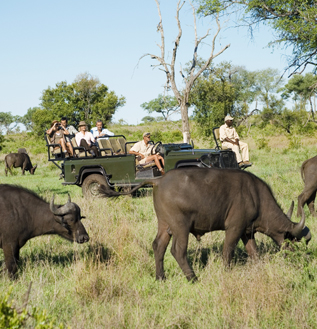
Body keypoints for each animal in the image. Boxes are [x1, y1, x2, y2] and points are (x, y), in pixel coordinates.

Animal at [99, 168, 312, 280]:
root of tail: (158, 180)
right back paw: (192, 277)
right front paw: (227, 271)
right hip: (180, 227)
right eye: (294, 241)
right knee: (177, 251)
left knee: (158, 246)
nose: (299, 258)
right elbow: (227, 251)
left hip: (164, 225)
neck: (256, 197)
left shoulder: (247, 232)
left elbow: (254, 252)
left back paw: (161, 277)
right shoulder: (234, 229)